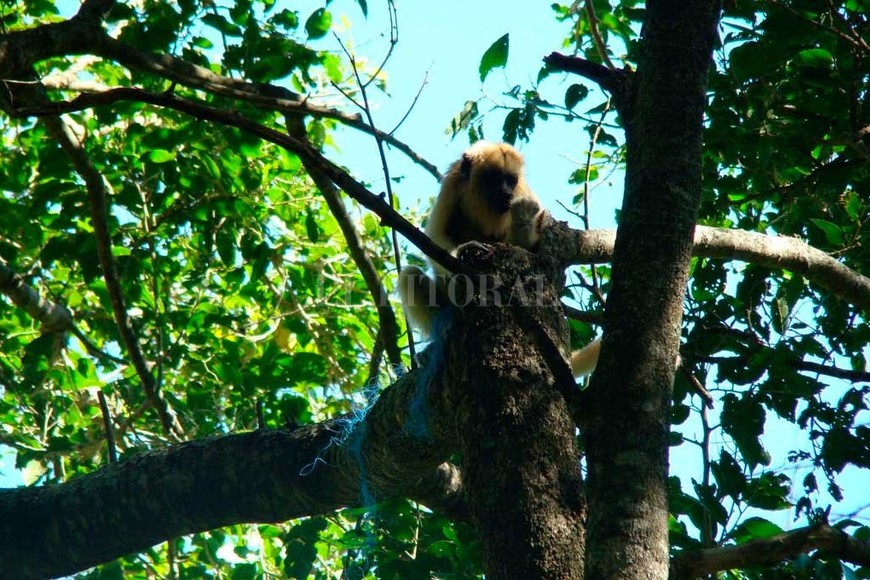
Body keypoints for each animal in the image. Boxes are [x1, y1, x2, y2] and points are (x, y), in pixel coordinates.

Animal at [398, 141, 602, 377]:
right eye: (494, 178)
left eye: (510, 180)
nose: (506, 193)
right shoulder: (452, 184)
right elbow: (435, 237)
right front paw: (463, 251)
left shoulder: (523, 192)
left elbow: (527, 247)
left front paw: (523, 225)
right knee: (410, 275)